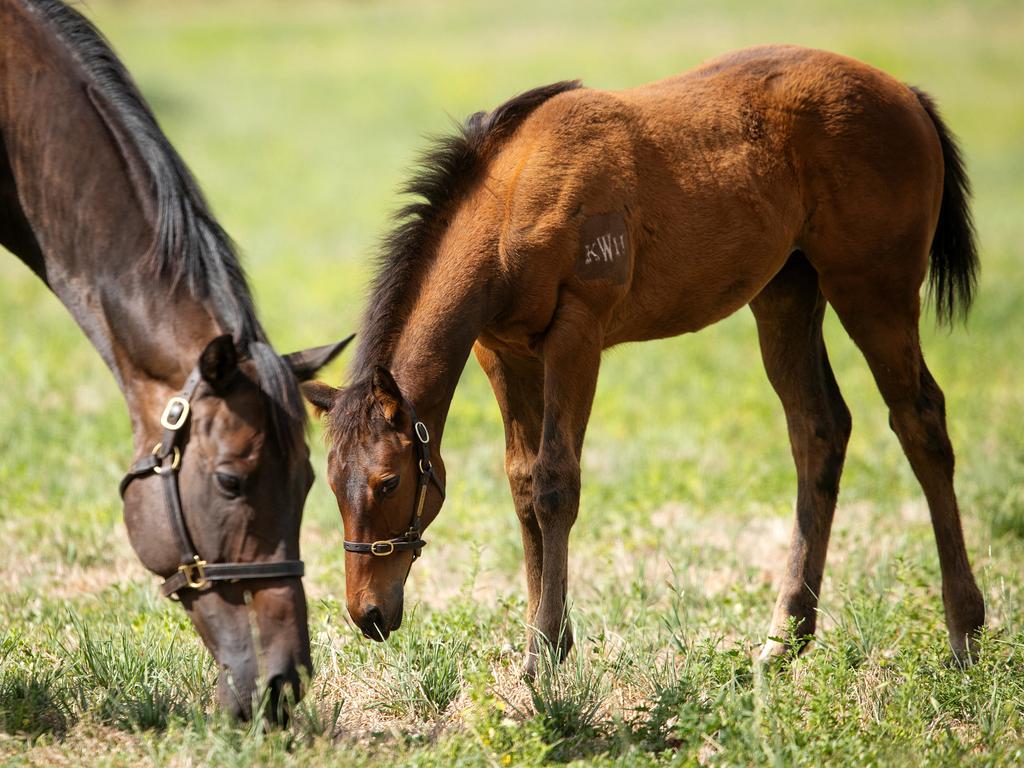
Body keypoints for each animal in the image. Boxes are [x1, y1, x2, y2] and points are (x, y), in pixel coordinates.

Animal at [309, 45, 983, 675]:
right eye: (332, 486)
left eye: (390, 481)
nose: (367, 614)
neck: (512, 203)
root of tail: (906, 94)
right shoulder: (502, 352)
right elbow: (523, 484)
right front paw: (539, 644)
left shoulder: (577, 336)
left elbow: (556, 483)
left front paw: (545, 658)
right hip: (786, 293)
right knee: (818, 429)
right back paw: (782, 641)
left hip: (874, 288)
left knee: (920, 419)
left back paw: (964, 632)